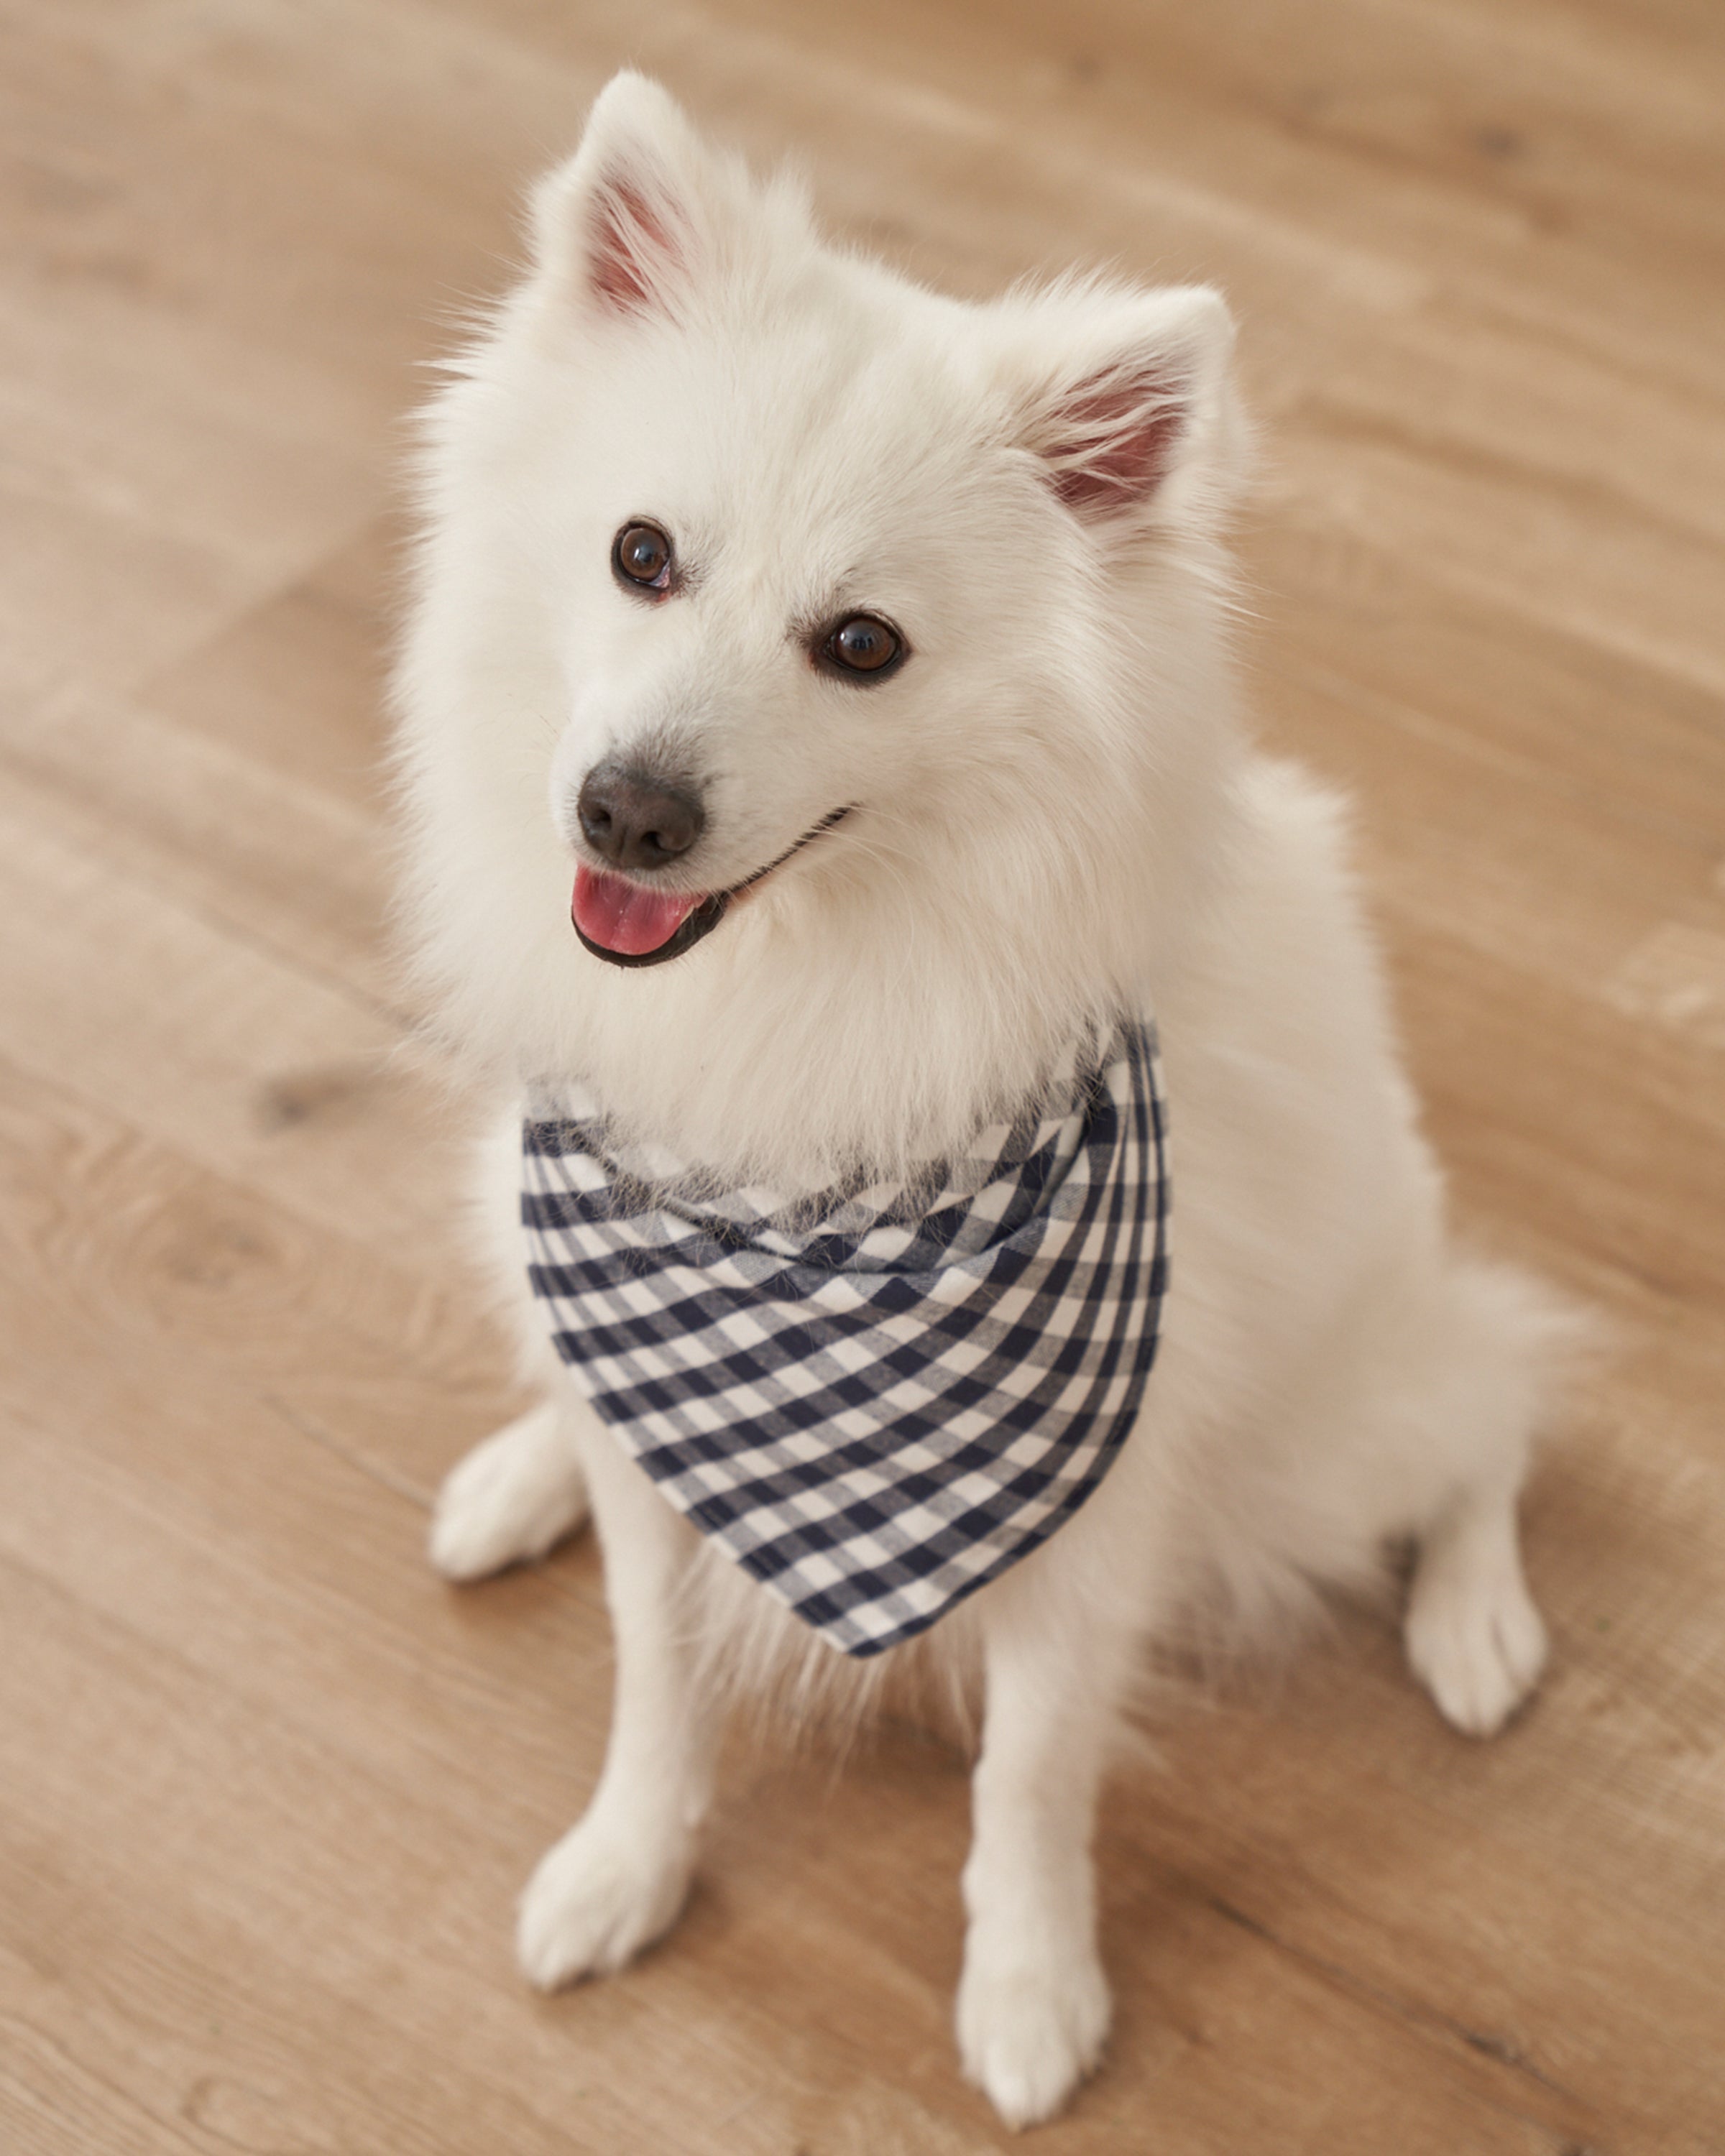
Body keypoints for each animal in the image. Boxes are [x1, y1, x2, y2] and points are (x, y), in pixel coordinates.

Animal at [397, 75, 1570, 2130]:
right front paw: (623, 1863)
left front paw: (1028, 1996)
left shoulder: (1088, 1515)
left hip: (1324, 1432)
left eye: (861, 645)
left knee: (1490, 1404)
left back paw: (1473, 1621)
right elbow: (650, 1666)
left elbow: (1027, 1778)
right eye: (642, 555)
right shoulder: (653, 1376)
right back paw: (520, 1463)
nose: (625, 810)